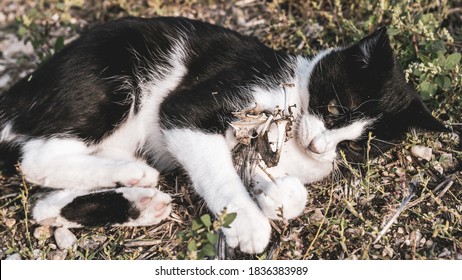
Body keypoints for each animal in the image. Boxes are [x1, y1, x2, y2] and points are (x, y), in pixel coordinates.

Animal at [0, 17, 448, 254]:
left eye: (356, 147)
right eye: (335, 108)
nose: (320, 146)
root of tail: (23, 88)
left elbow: (285, 186)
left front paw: (276, 197)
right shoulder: (188, 109)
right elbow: (218, 171)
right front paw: (249, 223)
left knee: (42, 204)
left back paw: (140, 199)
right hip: (110, 84)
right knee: (33, 161)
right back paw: (134, 174)